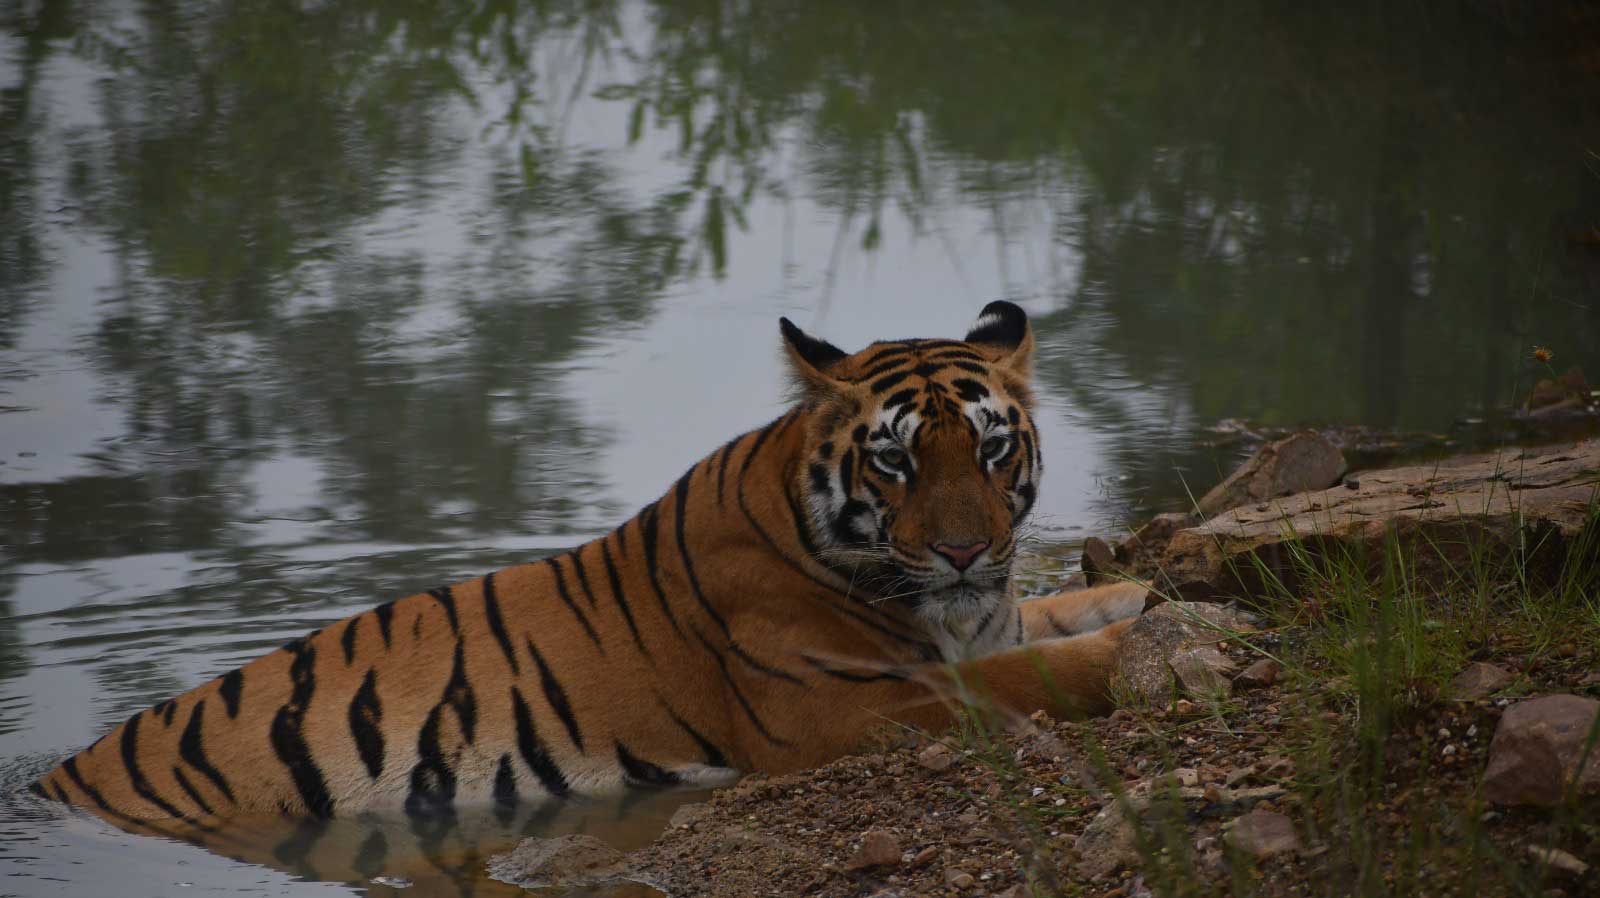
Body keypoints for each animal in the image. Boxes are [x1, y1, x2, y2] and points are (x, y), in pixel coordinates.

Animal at [31, 301, 1147, 830]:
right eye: (896, 458)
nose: (964, 548)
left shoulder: (987, 616)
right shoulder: (846, 706)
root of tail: (46, 785)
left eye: (991, 449)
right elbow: (1034, 676)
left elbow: (1078, 606)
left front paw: (1155, 598)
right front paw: (1149, 649)